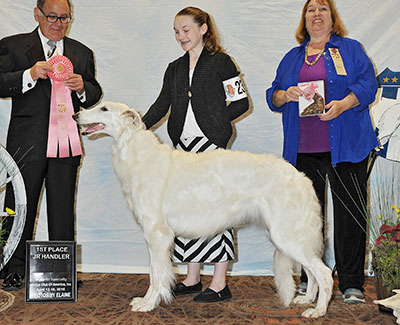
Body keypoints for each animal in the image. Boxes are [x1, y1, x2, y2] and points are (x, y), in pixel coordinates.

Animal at [74, 100, 334, 316]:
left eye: (104, 108)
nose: (76, 115)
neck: (137, 152)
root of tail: (301, 178)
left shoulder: (157, 234)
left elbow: (156, 274)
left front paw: (148, 303)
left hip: (288, 235)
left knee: (325, 274)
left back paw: (318, 311)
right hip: (291, 238)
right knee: (312, 272)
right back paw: (307, 300)